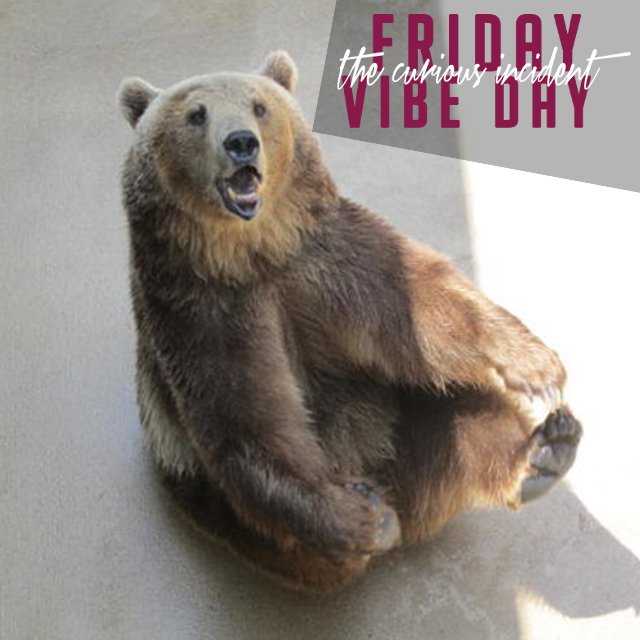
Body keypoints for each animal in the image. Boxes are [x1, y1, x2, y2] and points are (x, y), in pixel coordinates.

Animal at [118, 51, 582, 594]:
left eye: (259, 107)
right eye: (196, 114)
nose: (240, 142)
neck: (250, 254)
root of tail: (407, 492)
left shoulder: (327, 256)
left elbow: (423, 307)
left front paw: (537, 367)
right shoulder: (199, 309)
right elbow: (247, 417)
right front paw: (357, 519)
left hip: (397, 410)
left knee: (461, 413)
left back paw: (543, 451)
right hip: (206, 495)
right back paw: (377, 514)